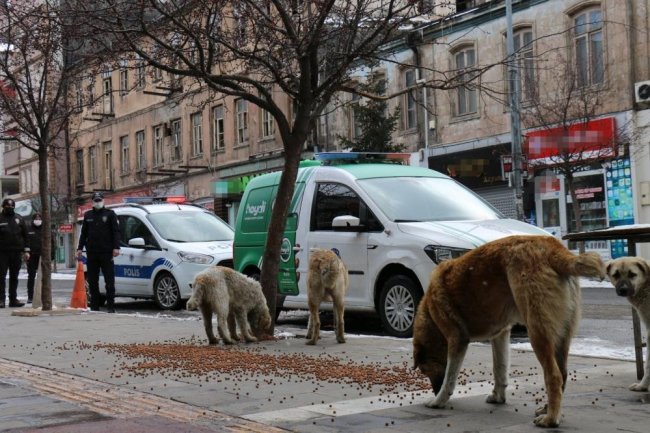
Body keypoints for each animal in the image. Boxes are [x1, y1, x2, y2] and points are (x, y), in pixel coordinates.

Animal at [412, 235, 604, 426]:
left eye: (424, 370)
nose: (434, 390)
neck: (430, 311)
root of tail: (554, 248)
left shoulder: (457, 339)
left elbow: (450, 378)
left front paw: (438, 401)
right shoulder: (501, 335)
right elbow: (499, 369)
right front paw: (498, 397)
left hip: (537, 332)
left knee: (554, 376)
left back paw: (550, 418)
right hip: (561, 337)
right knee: (563, 373)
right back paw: (547, 409)